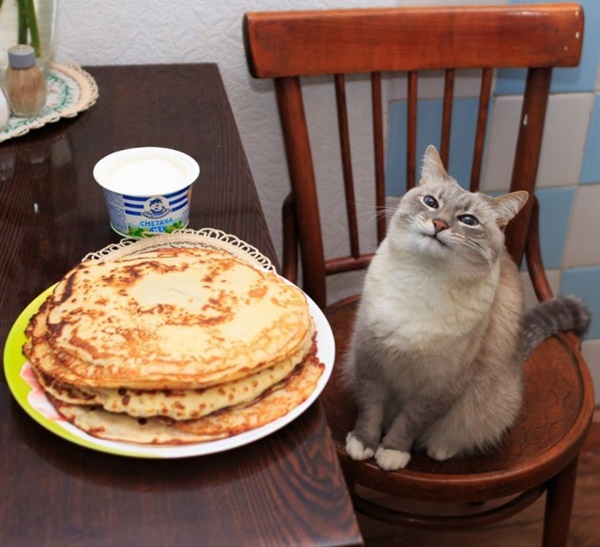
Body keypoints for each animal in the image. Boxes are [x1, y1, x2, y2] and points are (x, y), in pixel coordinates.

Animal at [342, 144, 592, 470]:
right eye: (431, 202)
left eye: (468, 221)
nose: (438, 225)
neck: (423, 278)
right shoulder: (369, 362)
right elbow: (369, 411)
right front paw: (363, 444)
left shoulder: (440, 386)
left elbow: (409, 423)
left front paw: (392, 452)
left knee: (459, 434)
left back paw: (439, 449)